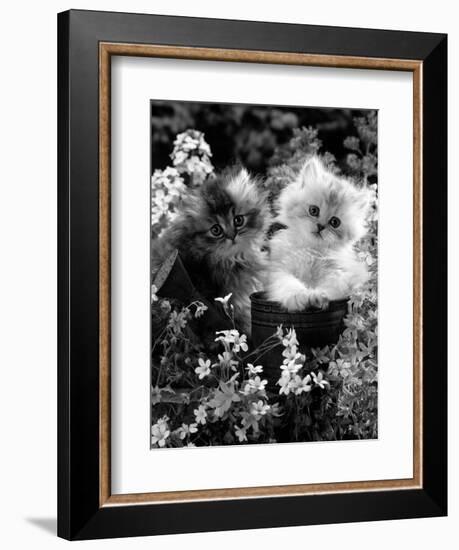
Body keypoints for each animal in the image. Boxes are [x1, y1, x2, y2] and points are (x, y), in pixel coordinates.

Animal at [266, 156, 374, 310]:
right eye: (313, 210)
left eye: (335, 222)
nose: (321, 226)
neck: (311, 250)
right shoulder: (279, 270)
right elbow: (290, 285)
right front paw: (301, 297)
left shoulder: (339, 274)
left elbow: (330, 288)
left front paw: (317, 296)